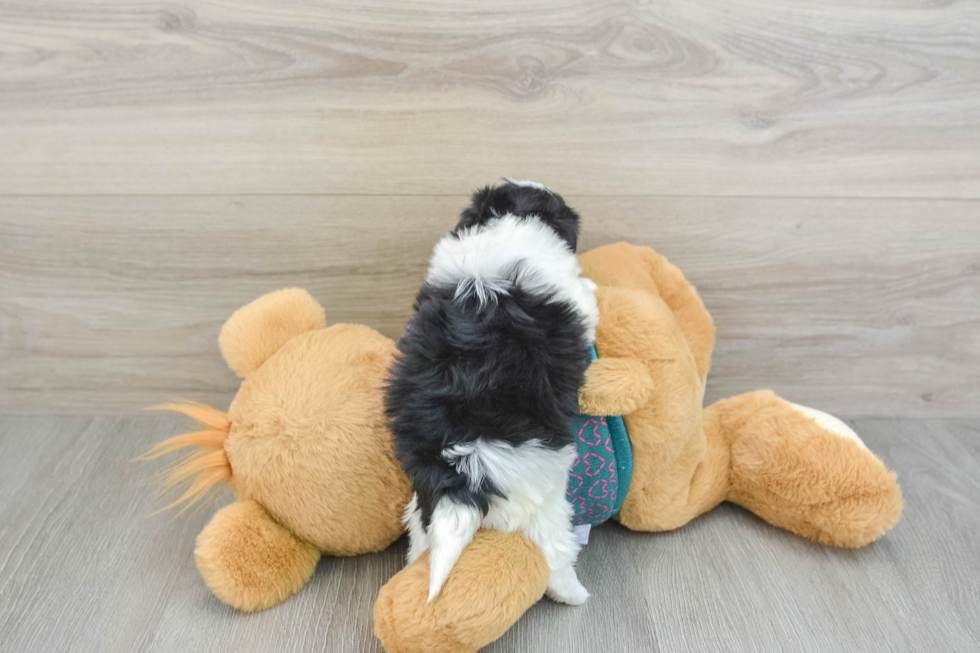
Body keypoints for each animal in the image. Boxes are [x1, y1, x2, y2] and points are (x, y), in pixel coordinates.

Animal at [384, 177, 596, 600]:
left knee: (421, 540)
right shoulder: (573, 296)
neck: (508, 220)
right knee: (554, 555)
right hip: (546, 503)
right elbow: (588, 300)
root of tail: (462, 471)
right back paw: (575, 596)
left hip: (421, 508)